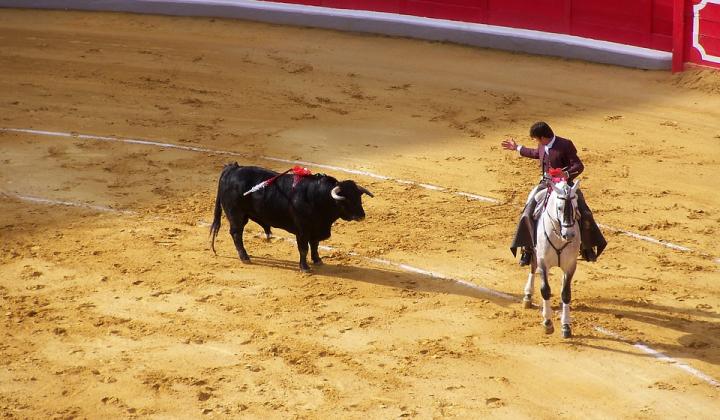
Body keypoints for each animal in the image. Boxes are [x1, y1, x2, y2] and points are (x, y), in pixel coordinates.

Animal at [211, 162, 374, 270]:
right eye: (346, 200)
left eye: (359, 198)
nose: (361, 215)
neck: (317, 197)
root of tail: (233, 168)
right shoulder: (302, 231)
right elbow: (303, 248)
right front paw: (305, 267)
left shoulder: (315, 229)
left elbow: (315, 245)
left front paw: (317, 260)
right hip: (236, 215)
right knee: (236, 233)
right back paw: (245, 257)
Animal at [524, 178, 580, 338]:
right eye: (559, 208)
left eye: (576, 206)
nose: (569, 235)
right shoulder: (543, 263)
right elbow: (545, 290)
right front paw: (547, 322)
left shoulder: (570, 265)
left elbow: (566, 293)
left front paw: (566, 326)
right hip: (534, 251)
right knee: (532, 266)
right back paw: (528, 295)